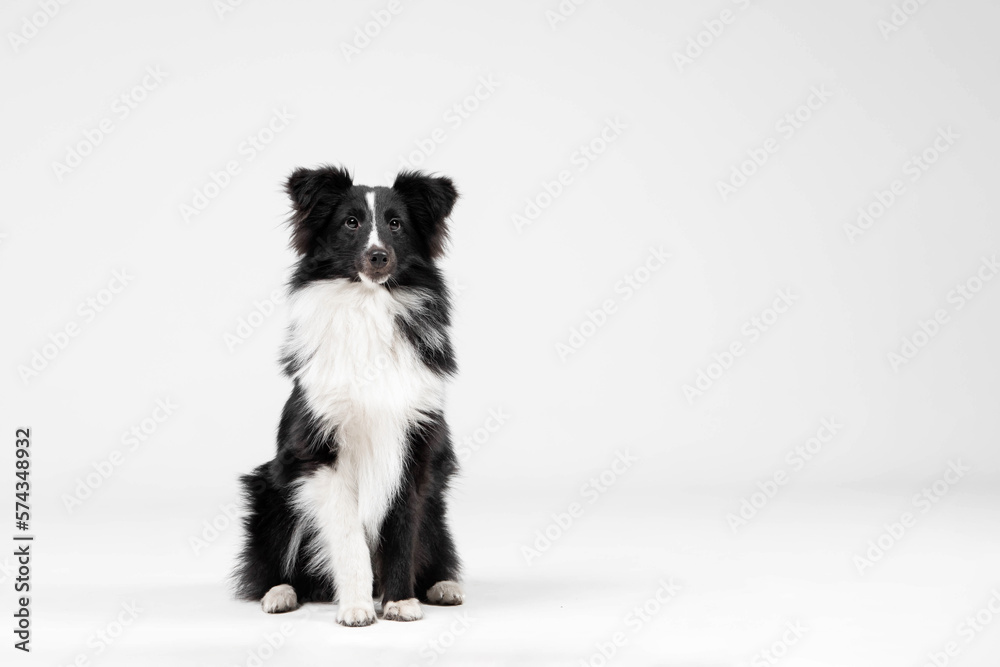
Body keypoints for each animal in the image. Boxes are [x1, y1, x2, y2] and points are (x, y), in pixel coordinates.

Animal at [233, 166, 464, 628]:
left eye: (396, 224)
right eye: (350, 222)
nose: (378, 257)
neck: (368, 304)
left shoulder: (412, 445)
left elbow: (402, 530)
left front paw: (399, 602)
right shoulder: (320, 453)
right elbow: (347, 534)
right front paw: (356, 606)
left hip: (437, 502)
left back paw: (441, 586)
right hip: (269, 493)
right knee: (276, 565)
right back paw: (279, 594)